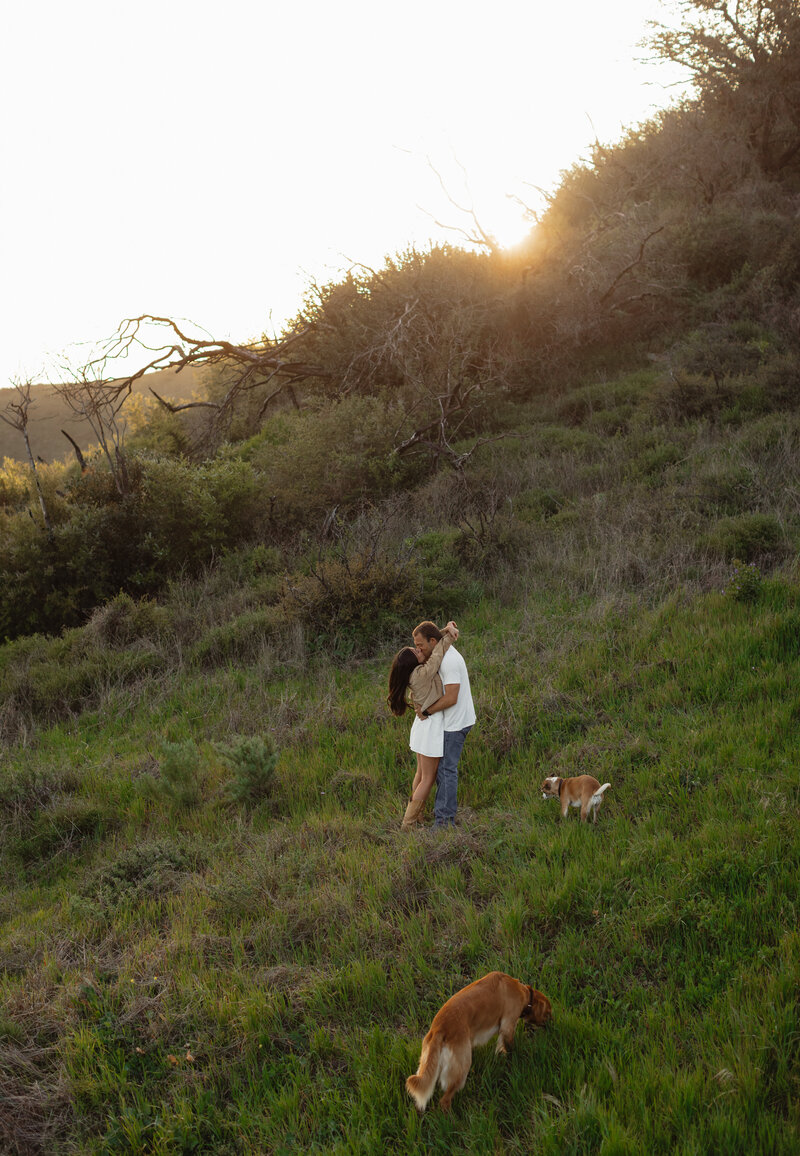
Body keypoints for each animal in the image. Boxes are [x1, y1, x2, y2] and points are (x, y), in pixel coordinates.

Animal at [406, 971, 550, 1114]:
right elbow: (511, 1048)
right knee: (445, 1100)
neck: (522, 991)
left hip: (429, 1064)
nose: (550, 1026)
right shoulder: (508, 1026)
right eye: (548, 1013)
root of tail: (438, 1028)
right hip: (461, 1068)